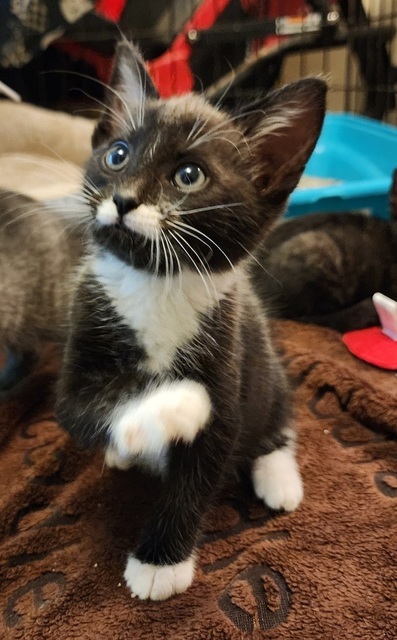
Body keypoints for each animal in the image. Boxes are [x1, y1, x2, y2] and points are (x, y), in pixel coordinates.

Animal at [54, 40, 324, 600]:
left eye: (189, 176)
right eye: (117, 155)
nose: (124, 199)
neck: (155, 284)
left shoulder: (228, 358)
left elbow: (204, 464)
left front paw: (160, 563)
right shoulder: (83, 333)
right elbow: (86, 406)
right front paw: (171, 405)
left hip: (265, 367)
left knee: (278, 420)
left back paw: (279, 478)